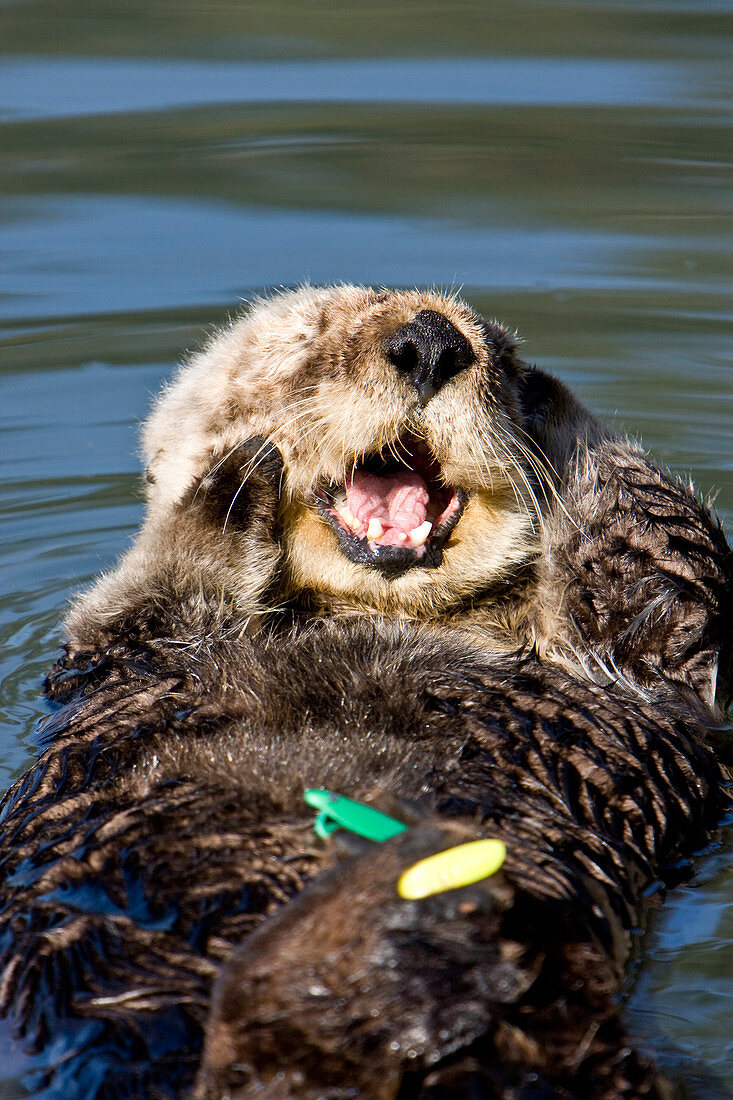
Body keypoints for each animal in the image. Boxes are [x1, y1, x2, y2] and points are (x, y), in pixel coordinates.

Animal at [0, 286, 726, 1100]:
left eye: (499, 357)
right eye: (307, 343)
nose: (432, 342)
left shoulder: (654, 662)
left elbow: (663, 561)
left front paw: (557, 417)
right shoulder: (120, 654)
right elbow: (146, 594)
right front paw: (230, 481)